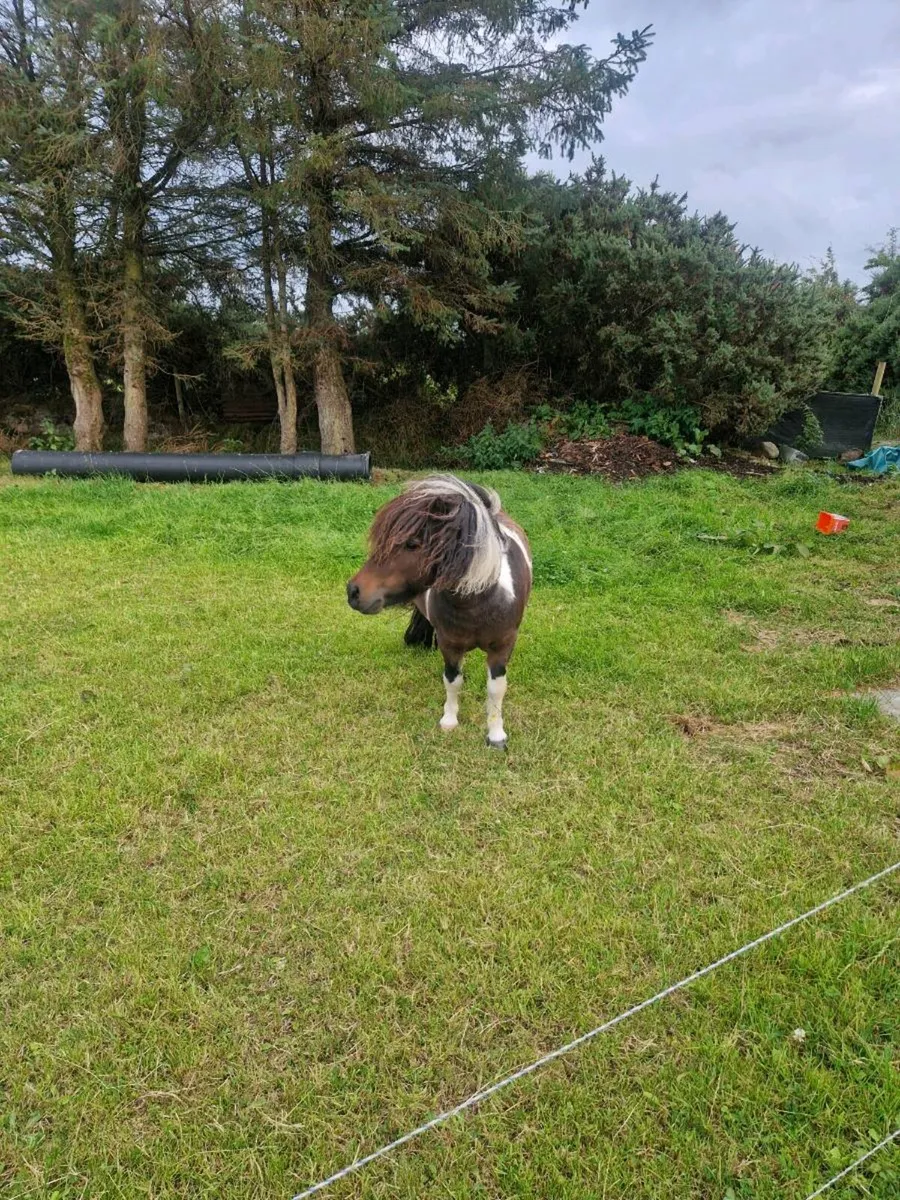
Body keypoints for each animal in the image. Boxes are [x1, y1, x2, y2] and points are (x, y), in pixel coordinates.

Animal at [346, 475, 532, 749]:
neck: (477, 603)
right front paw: (449, 721)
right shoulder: (450, 645)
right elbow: (453, 680)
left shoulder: (502, 647)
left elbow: (496, 689)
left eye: (412, 544)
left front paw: (496, 735)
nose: (353, 591)